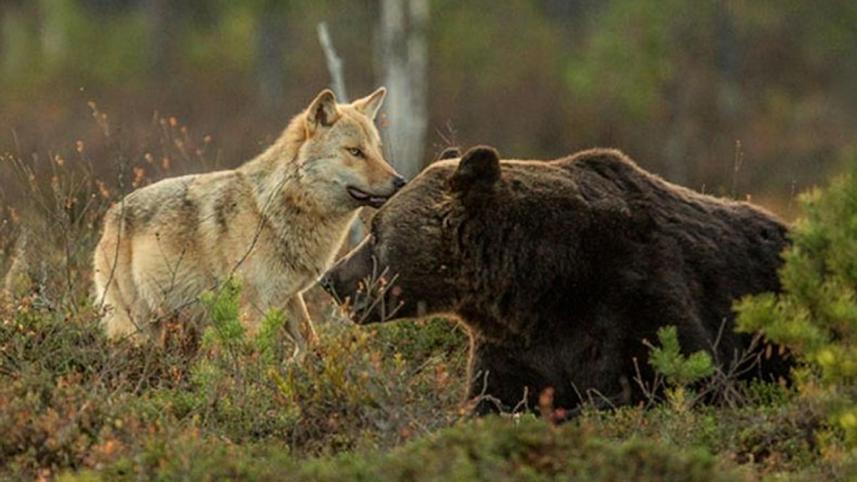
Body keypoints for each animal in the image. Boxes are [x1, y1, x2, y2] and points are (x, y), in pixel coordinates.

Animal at [93, 87, 404, 356]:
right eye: (355, 152)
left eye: (377, 150)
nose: (400, 181)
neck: (271, 212)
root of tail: (109, 216)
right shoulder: (251, 309)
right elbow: (251, 358)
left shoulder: (289, 296)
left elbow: (311, 342)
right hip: (137, 327)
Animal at [320, 145, 791, 415]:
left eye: (376, 231)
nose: (330, 278)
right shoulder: (516, 347)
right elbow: (493, 401)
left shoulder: (637, 294)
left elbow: (693, 382)